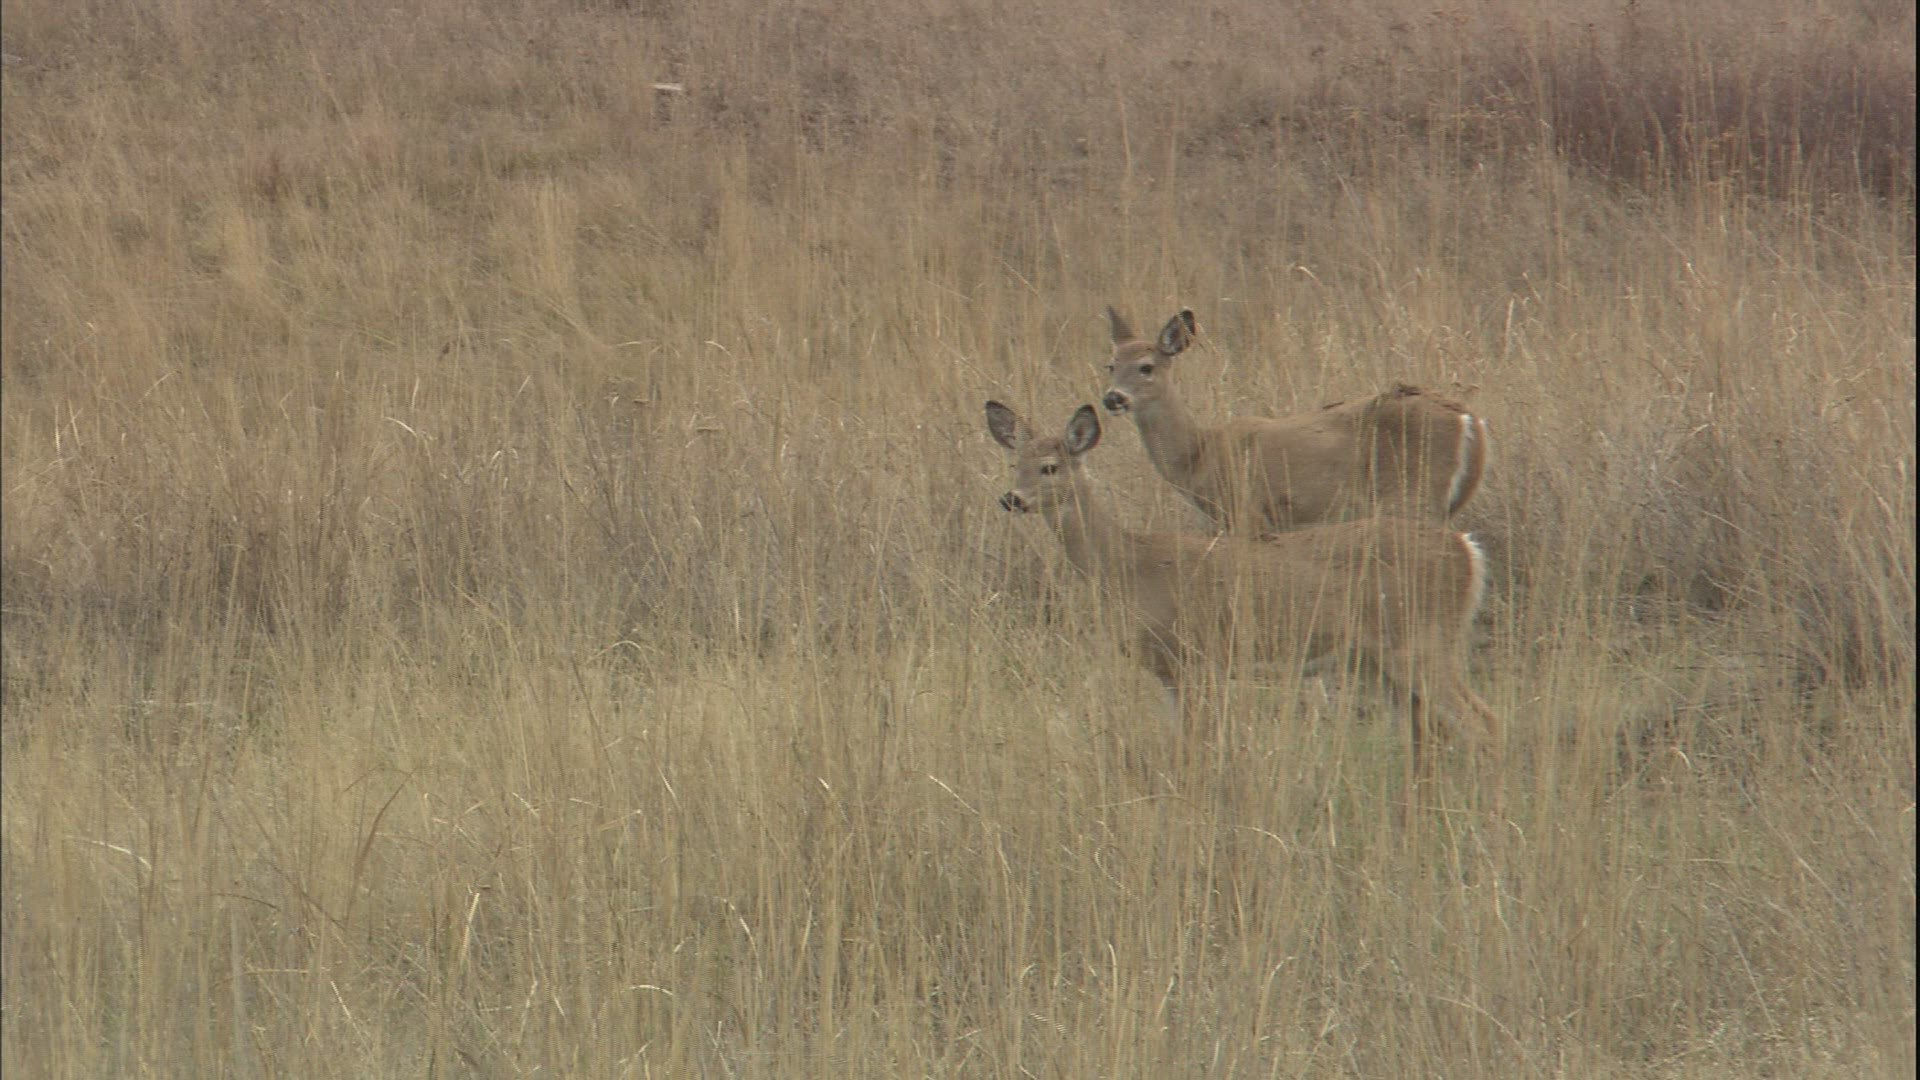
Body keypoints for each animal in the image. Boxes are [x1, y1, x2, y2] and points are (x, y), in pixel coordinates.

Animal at [986, 400, 1501, 790]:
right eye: (1015, 464)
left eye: (1050, 467)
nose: (1012, 498)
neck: (1129, 564)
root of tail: (1467, 550)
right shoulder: (1170, 671)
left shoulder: (1197, 658)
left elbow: (1196, 751)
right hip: (1380, 661)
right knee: (1429, 734)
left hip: (1421, 641)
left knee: (1482, 723)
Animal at [1100, 307, 1489, 536]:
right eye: (1110, 364)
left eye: (1146, 367)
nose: (1112, 398)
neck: (1198, 454)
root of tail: (1468, 420)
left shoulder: (1249, 514)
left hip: (1412, 495)